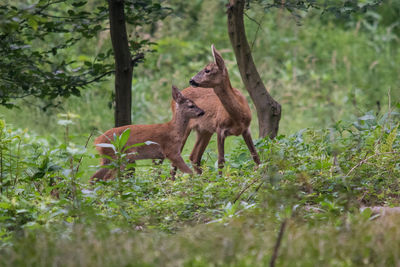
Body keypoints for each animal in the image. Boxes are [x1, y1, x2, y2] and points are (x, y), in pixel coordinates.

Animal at [171, 44, 260, 175]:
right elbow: (221, 160)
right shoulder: (219, 128)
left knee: (194, 157)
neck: (238, 117)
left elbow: (255, 155)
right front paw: (220, 179)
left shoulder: (246, 129)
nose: (191, 80)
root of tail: (174, 100)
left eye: (207, 70)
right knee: (176, 158)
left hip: (204, 131)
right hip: (184, 126)